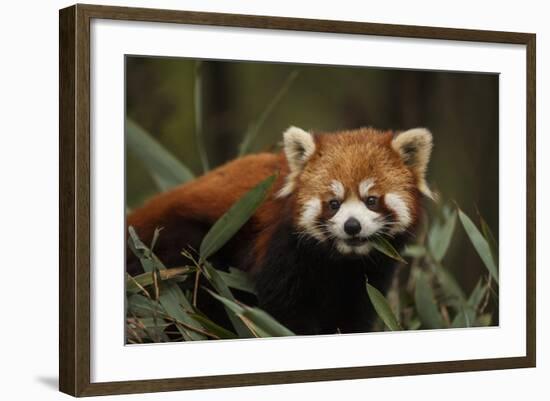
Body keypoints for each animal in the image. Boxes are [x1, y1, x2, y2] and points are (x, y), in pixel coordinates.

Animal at [128, 125, 436, 334]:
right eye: (333, 203)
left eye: (371, 200)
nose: (352, 226)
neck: (339, 260)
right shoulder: (283, 249)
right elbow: (285, 310)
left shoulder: (370, 274)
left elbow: (355, 311)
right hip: (182, 245)